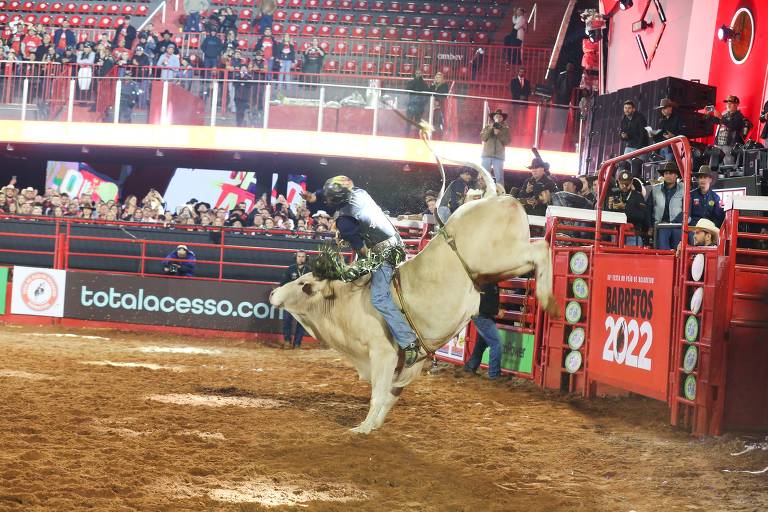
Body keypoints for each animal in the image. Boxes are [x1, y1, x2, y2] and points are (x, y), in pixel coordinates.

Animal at [270, 185, 560, 436]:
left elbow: (378, 394)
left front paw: (362, 428)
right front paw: (374, 425)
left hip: (498, 257)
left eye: (304, 285)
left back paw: (550, 301)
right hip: (498, 268)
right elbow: (390, 395)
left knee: (540, 248)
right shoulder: (408, 363)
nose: (273, 294)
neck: (345, 303)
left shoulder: (383, 353)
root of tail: (496, 197)